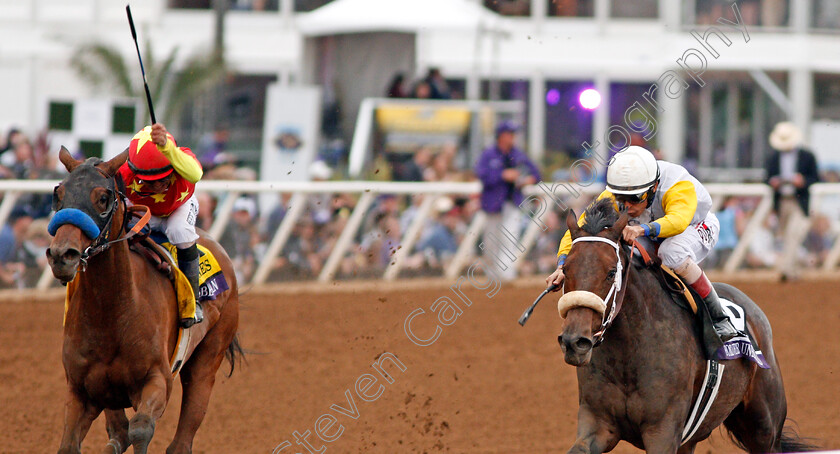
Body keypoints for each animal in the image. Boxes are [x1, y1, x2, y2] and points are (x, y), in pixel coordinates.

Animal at [48, 149, 241, 454]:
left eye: (103, 198)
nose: (61, 255)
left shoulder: (157, 381)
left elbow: (141, 429)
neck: (112, 314)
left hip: (209, 357)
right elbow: (71, 444)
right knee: (118, 431)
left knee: (181, 438)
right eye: (59, 193)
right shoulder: (80, 389)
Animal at [556, 200, 812, 452]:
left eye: (611, 272)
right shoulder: (597, 424)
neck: (628, 356)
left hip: (763, 428)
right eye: (566, 269)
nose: (574, 342)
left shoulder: (663, 431)